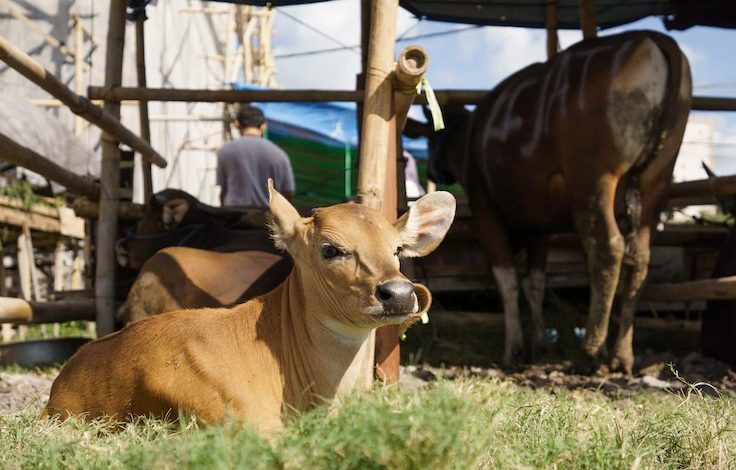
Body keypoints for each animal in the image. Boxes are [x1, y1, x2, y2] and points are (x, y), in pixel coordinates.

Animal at [412, 30, 692, 374]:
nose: (432, 168)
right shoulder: (538, 226)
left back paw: (591, 350)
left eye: (430, 138)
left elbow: (507, 279)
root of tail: (650, 37)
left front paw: (515, 348)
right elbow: (535, 282)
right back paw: (621, 354)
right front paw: (540, 343)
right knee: (639, 255)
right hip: (656, 181)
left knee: (608, 250)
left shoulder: (485, 210)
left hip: (592, 180)